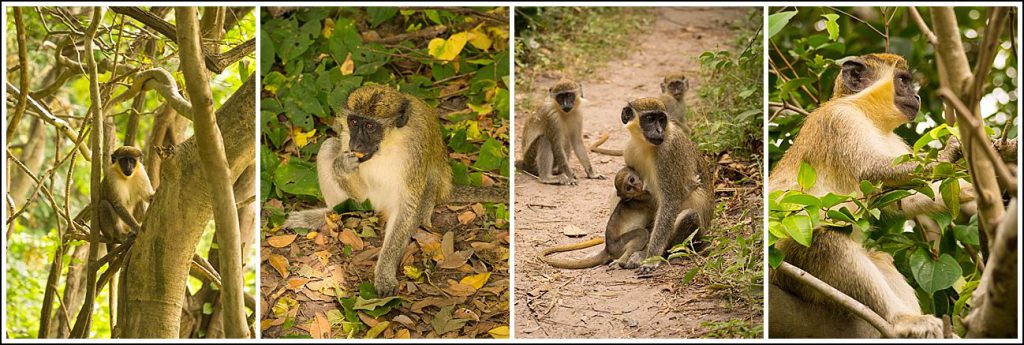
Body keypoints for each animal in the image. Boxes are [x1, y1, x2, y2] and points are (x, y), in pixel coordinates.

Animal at [282, 83, 505, 294]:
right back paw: (325, 215)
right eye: (354, 123)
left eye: (370, 126)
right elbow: (354, 187)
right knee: (329, 146)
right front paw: (341, 166)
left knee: (428, 182)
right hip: (369, 199)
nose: (357, 144)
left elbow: (407, 206)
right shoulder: (347, 139)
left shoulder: (417, 146)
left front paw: (384, 273)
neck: (389, 142)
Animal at [614, 97, 712, 274]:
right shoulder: (629, 150)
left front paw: (651, 259)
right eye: (650, 119)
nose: (659, 131)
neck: (644, 145)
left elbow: (670, 201)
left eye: (661, 119)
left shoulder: (667, 152)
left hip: (698, 236)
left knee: (689, 216)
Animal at [770, 52, 974, 337]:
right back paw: (902, 319)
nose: (917, 97)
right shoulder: (841, 120)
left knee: (882, 260)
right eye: (903, 81)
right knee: (828, 243)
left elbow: (906, 200)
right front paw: (948, 155)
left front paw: (976, 190)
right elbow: (873, 169)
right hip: (790, 269)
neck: (865, 112)